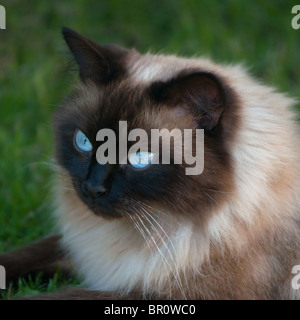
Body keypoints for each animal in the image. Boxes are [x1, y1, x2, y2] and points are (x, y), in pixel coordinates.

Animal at [0, 27, 300, 300]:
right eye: (84, 142)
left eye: (140, 158)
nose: (93, 188)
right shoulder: (85, 249)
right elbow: (23, 256)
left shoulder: (165, 293)